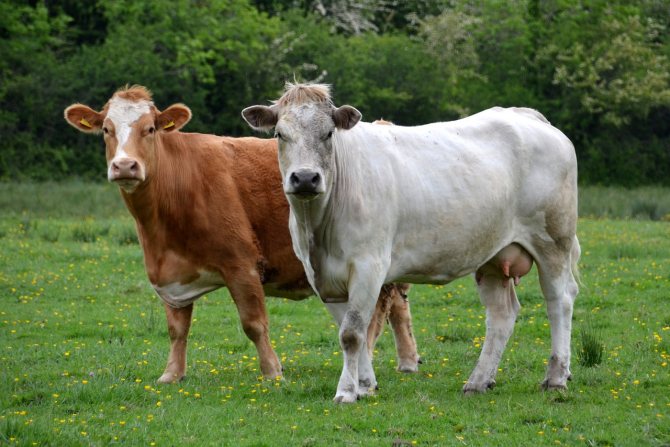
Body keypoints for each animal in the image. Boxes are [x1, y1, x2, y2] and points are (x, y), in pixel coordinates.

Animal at [63, 85, 420, 384]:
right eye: (106, 130)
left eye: (149, 129)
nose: (125, 166)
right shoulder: (171, 275)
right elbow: (177, 329)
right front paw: (172, 374)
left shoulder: (241, 264)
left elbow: (254, 323)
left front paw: (273, 372)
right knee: (398, 307)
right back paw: (407, 361)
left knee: (376, 313)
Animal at [242, 82, 581, 403]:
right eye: (280, 134)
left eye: (328, 133)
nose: (305, 178)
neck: (318, 230)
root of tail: (525, 115)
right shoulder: (323, 277)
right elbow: (352, 331)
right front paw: (365, 386)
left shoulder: (369, 265)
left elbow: (352, 333)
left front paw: (346, 392)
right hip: (493, 254)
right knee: (502, 313)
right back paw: (478, 382)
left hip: (554, 240)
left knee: (559, 300)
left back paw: (556, 378)